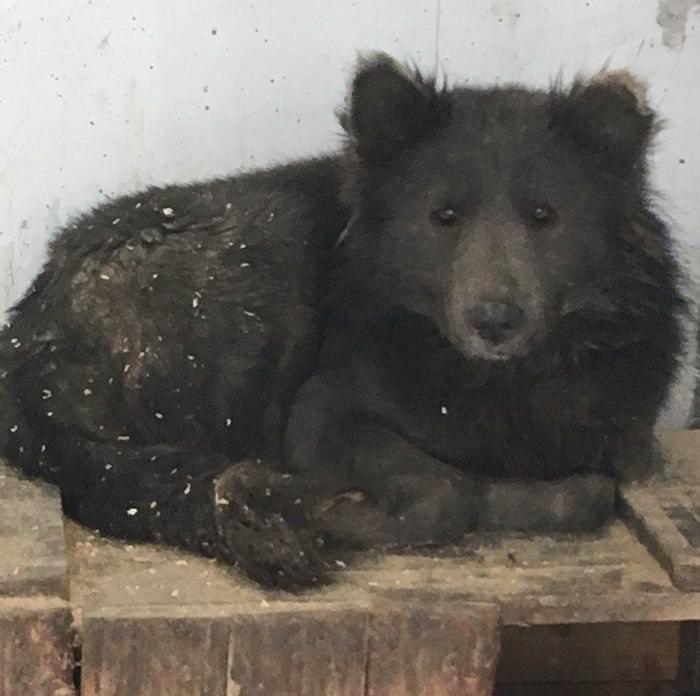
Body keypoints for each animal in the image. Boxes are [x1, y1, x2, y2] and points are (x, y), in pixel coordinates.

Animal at [0, 54, 680, 588]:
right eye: (444, 216)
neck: (494, 384)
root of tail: (30, 334)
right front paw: (348, 513)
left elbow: (588, 493)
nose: (495, 321)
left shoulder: (617, 444)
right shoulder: (322, 414)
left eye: (545, 216)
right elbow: (449, 492)